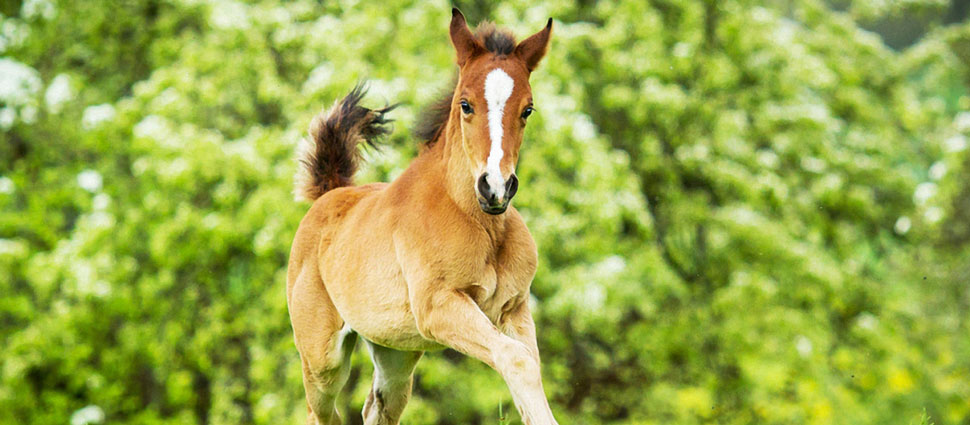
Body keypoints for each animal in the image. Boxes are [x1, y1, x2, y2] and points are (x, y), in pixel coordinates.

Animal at [286, 9, 560, 424]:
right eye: (465, 104)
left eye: (527, 109)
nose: (495, 187)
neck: (480, 224)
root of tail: (330, 193)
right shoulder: (438, 307)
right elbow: (518, 360)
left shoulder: (513, 308)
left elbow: (527, 365)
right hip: (322, 360)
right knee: (322, 412)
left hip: (395, 352)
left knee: (378, 407)